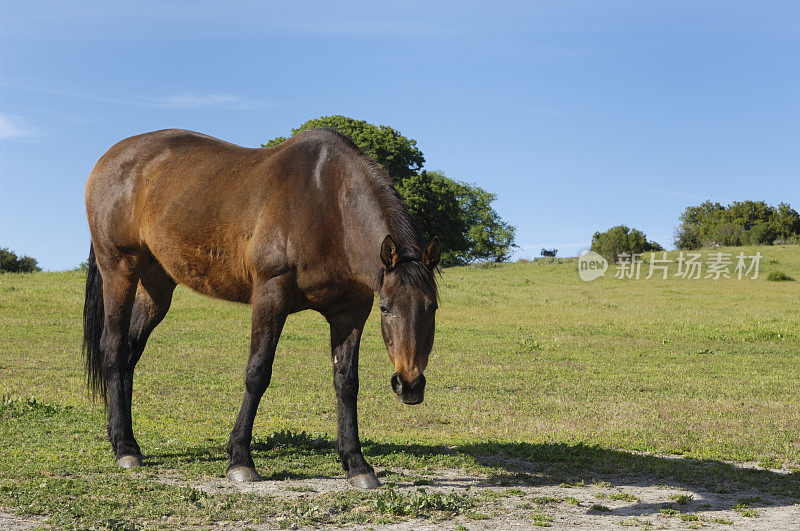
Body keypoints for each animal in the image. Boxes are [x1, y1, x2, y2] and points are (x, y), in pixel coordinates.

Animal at [83, 129, 440, 490]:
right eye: (386, 308)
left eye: (433, 307)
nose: (410, 385)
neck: (329, 203)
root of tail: (110, 158)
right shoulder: (271, 296)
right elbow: (257, 373)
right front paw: (240, 459)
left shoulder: (349, 312)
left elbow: (346, 382)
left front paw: (356, 463)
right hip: (119, 271)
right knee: (114, 350)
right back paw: (125, 448)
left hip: (156, 287)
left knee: (130, 353)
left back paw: (123, 438)